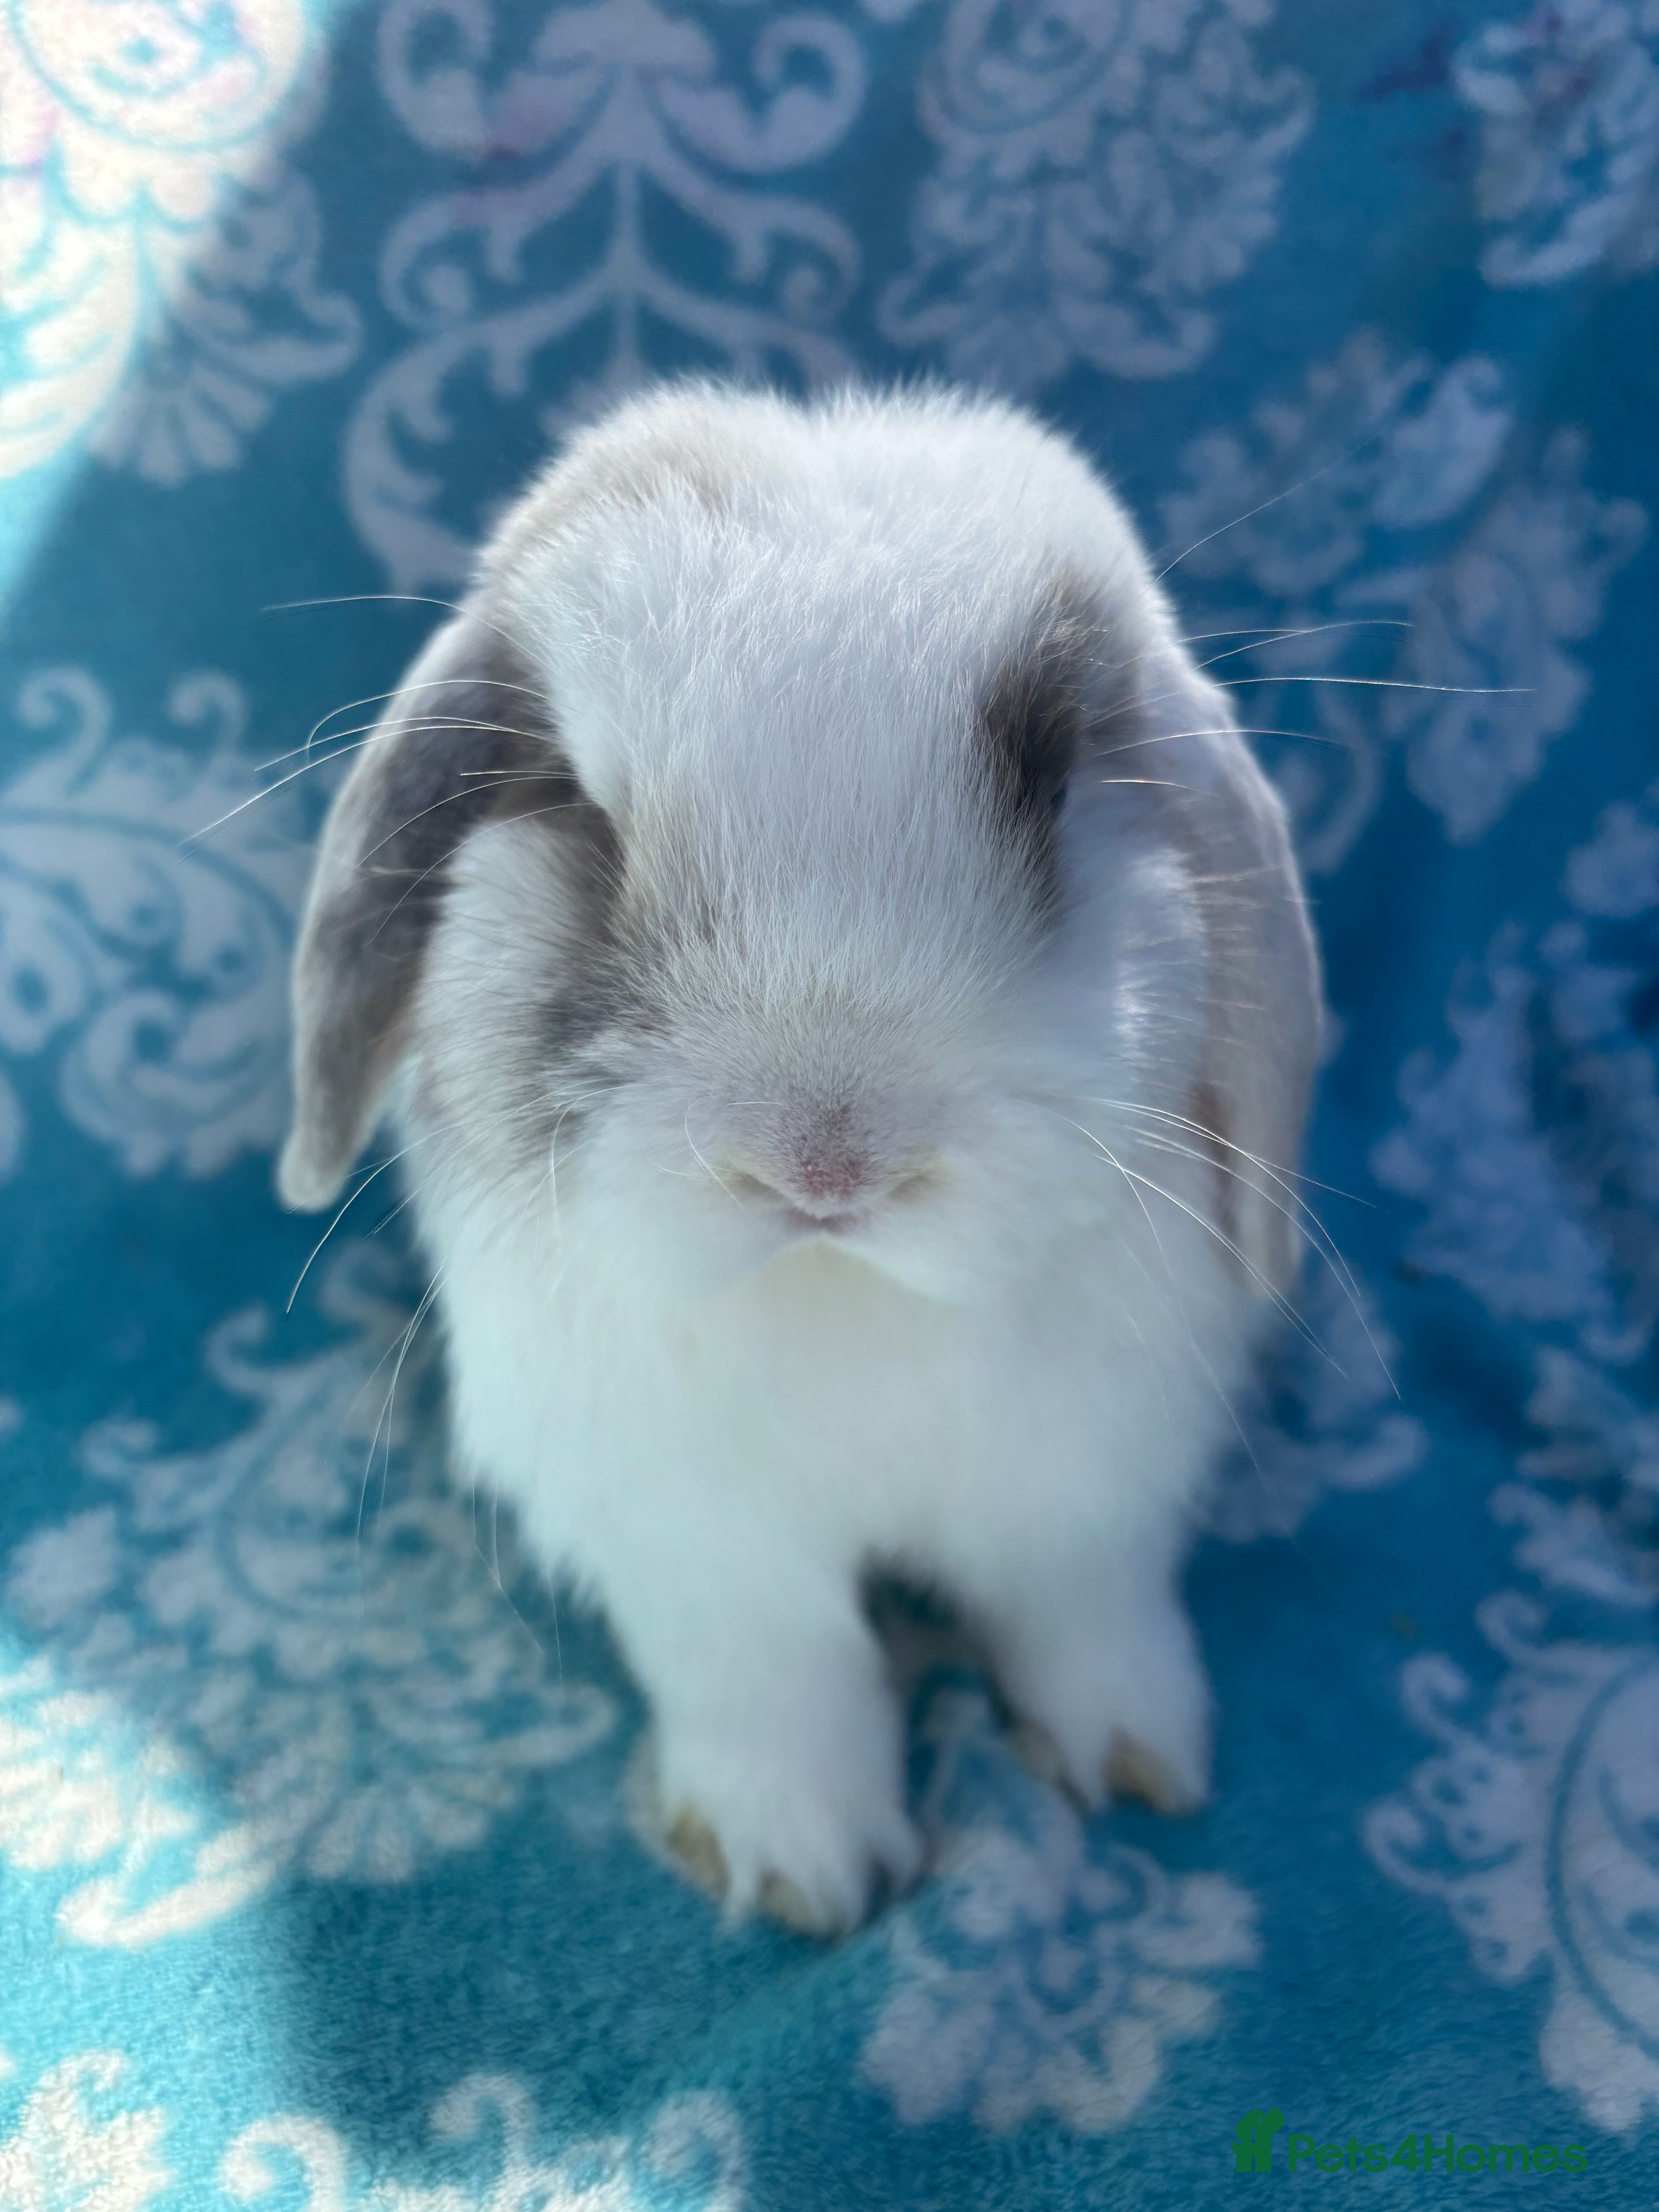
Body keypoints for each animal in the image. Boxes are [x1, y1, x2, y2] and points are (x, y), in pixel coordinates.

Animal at [279, 381, 1321, 1935]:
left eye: (1057, 778)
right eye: (575, 807)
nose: (825, 1163)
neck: (845, 1296)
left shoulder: (1085, 1482)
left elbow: (1083, 1609)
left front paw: (1138, 1755)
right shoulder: (696, 1540)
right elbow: (776, 1680)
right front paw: (804, 1870)